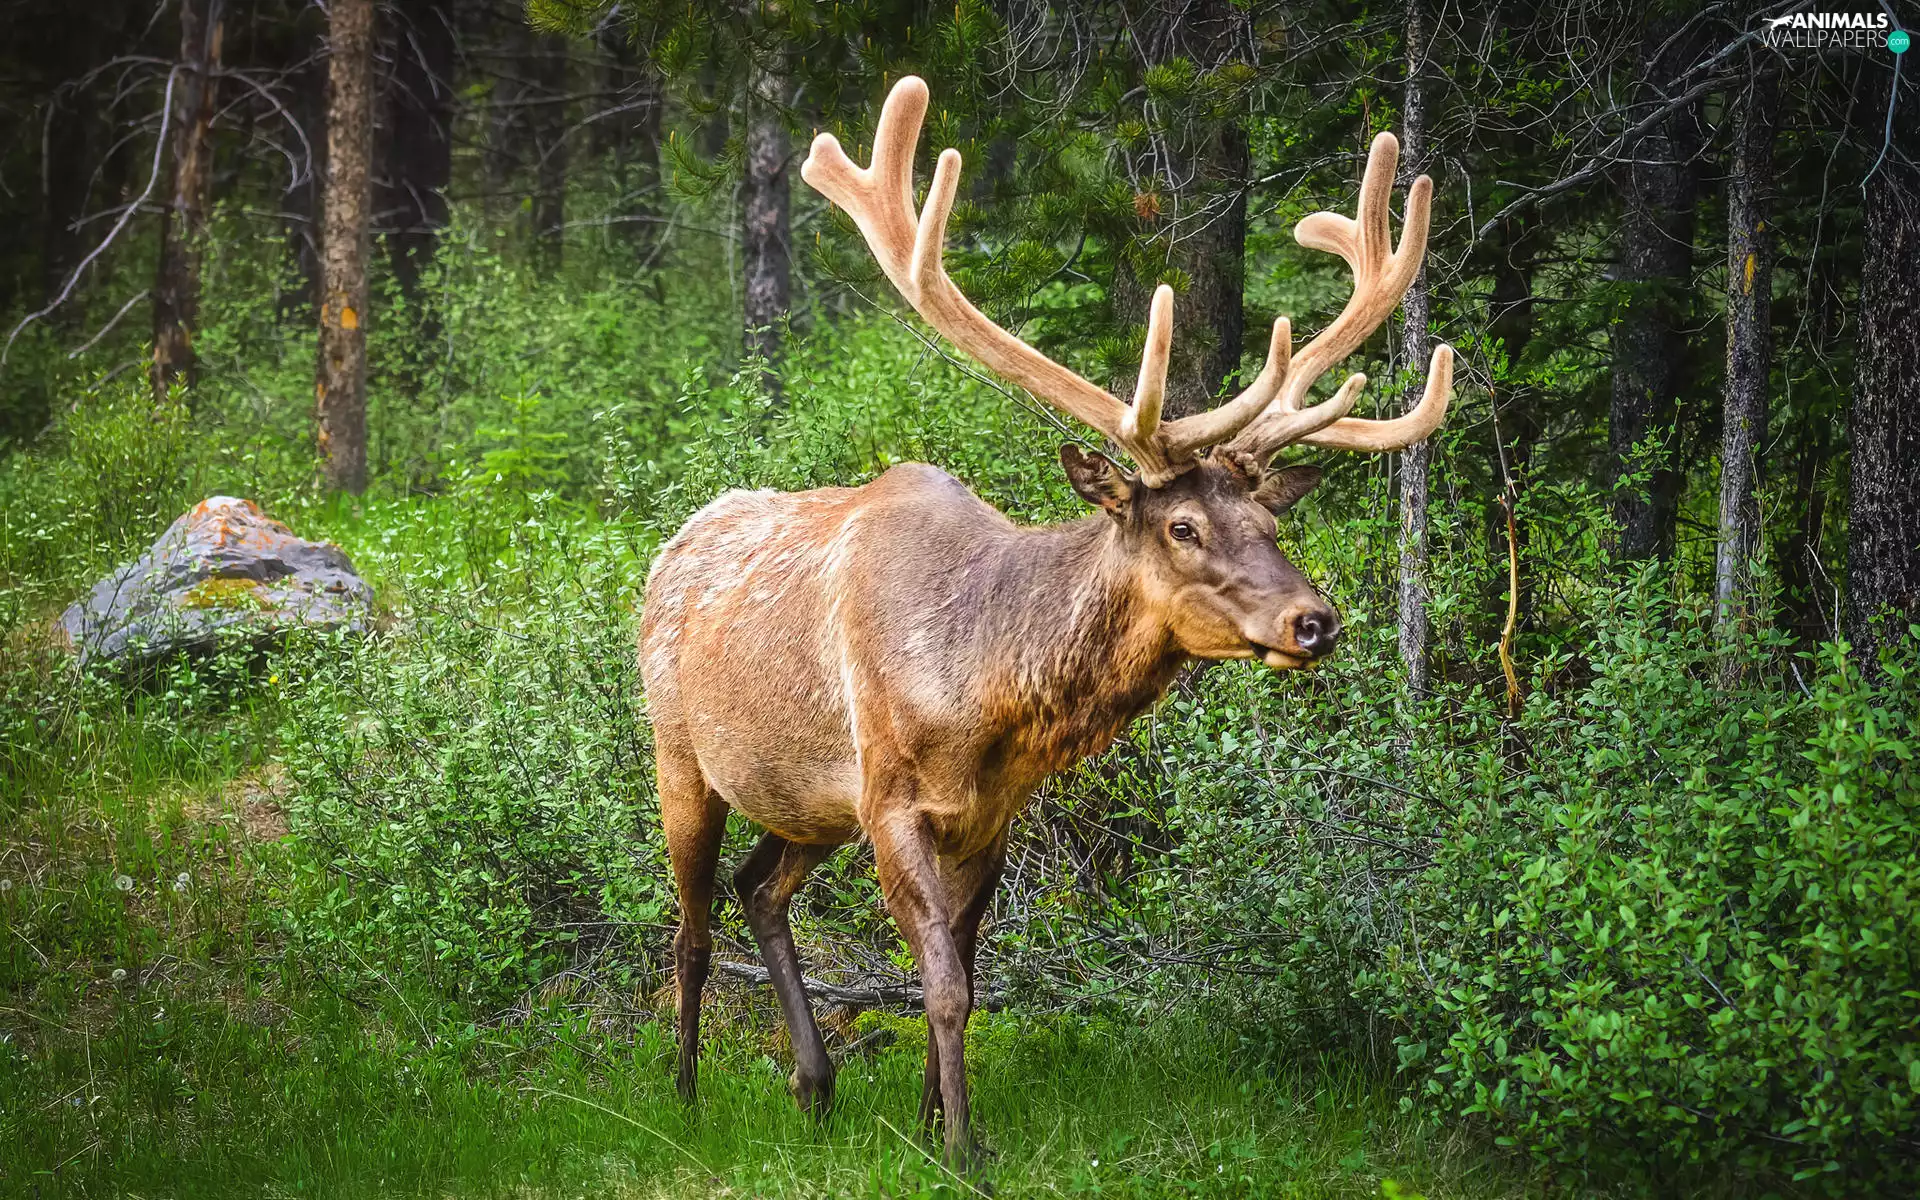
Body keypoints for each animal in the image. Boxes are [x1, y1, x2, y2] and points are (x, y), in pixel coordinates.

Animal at [639, 75, 1453, 1167]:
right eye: (1183, 525)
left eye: (1273, 521)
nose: (1314, 620)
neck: (984, 698)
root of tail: (670, 547)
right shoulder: (892, 797)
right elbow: (940, 987)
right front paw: (962, 1149)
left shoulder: (990, 814)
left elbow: (966, 977)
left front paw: (931, 1122)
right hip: (682, 754)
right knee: (690, 926)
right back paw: (684, 1095)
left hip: (810, 802)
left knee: (759, 889)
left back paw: (815, 1086)